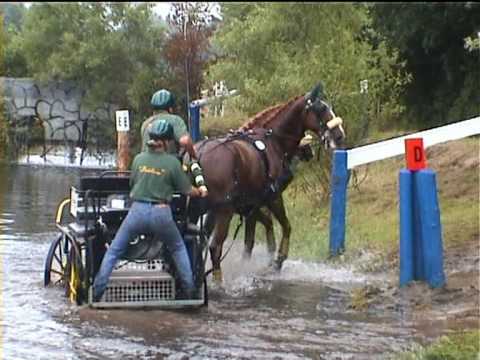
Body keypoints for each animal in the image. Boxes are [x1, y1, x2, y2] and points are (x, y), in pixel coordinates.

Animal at [195, 83, 344, 282]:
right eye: (321, 109)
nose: (340, 135)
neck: (273, 141)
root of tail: (198, 154)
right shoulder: (272, 198)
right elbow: (285, 227)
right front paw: (278, 260)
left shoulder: (250, 205)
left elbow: (261, 230)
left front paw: (264, 258)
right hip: (224, 210)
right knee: (215, 246)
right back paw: (217, 281)